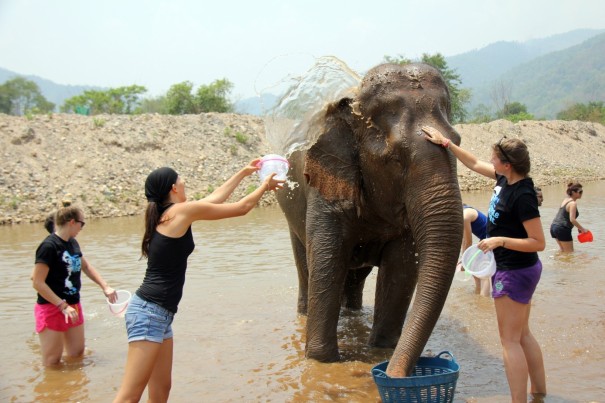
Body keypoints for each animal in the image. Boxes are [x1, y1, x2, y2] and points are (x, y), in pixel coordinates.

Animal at [274, 61, 462, 378]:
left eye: (458, 142)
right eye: (396, 159)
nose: (395, 375)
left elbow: (401, 268)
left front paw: (382, 350)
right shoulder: (325, 183)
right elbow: (328, 260)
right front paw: (320, 361)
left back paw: (353, 314)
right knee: (306, 265)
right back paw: (305, 313)